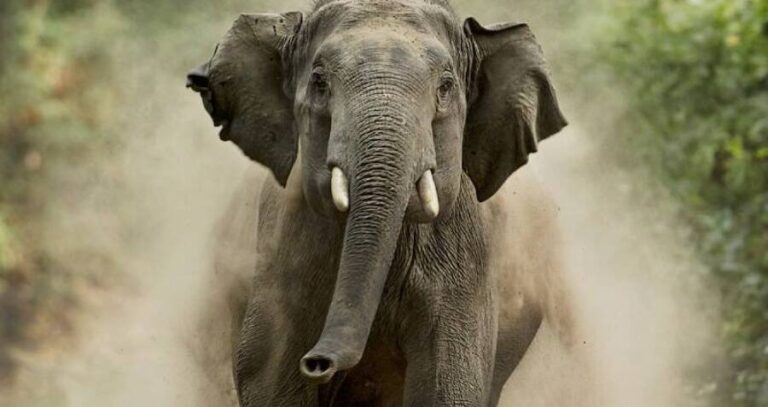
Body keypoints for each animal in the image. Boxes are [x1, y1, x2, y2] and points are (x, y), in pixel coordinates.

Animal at [187, 0, 572, 405]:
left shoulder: (463, 255)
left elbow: (450, 385)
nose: (318, 363)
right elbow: (269, 375)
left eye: (446, 86)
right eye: (319, 82)